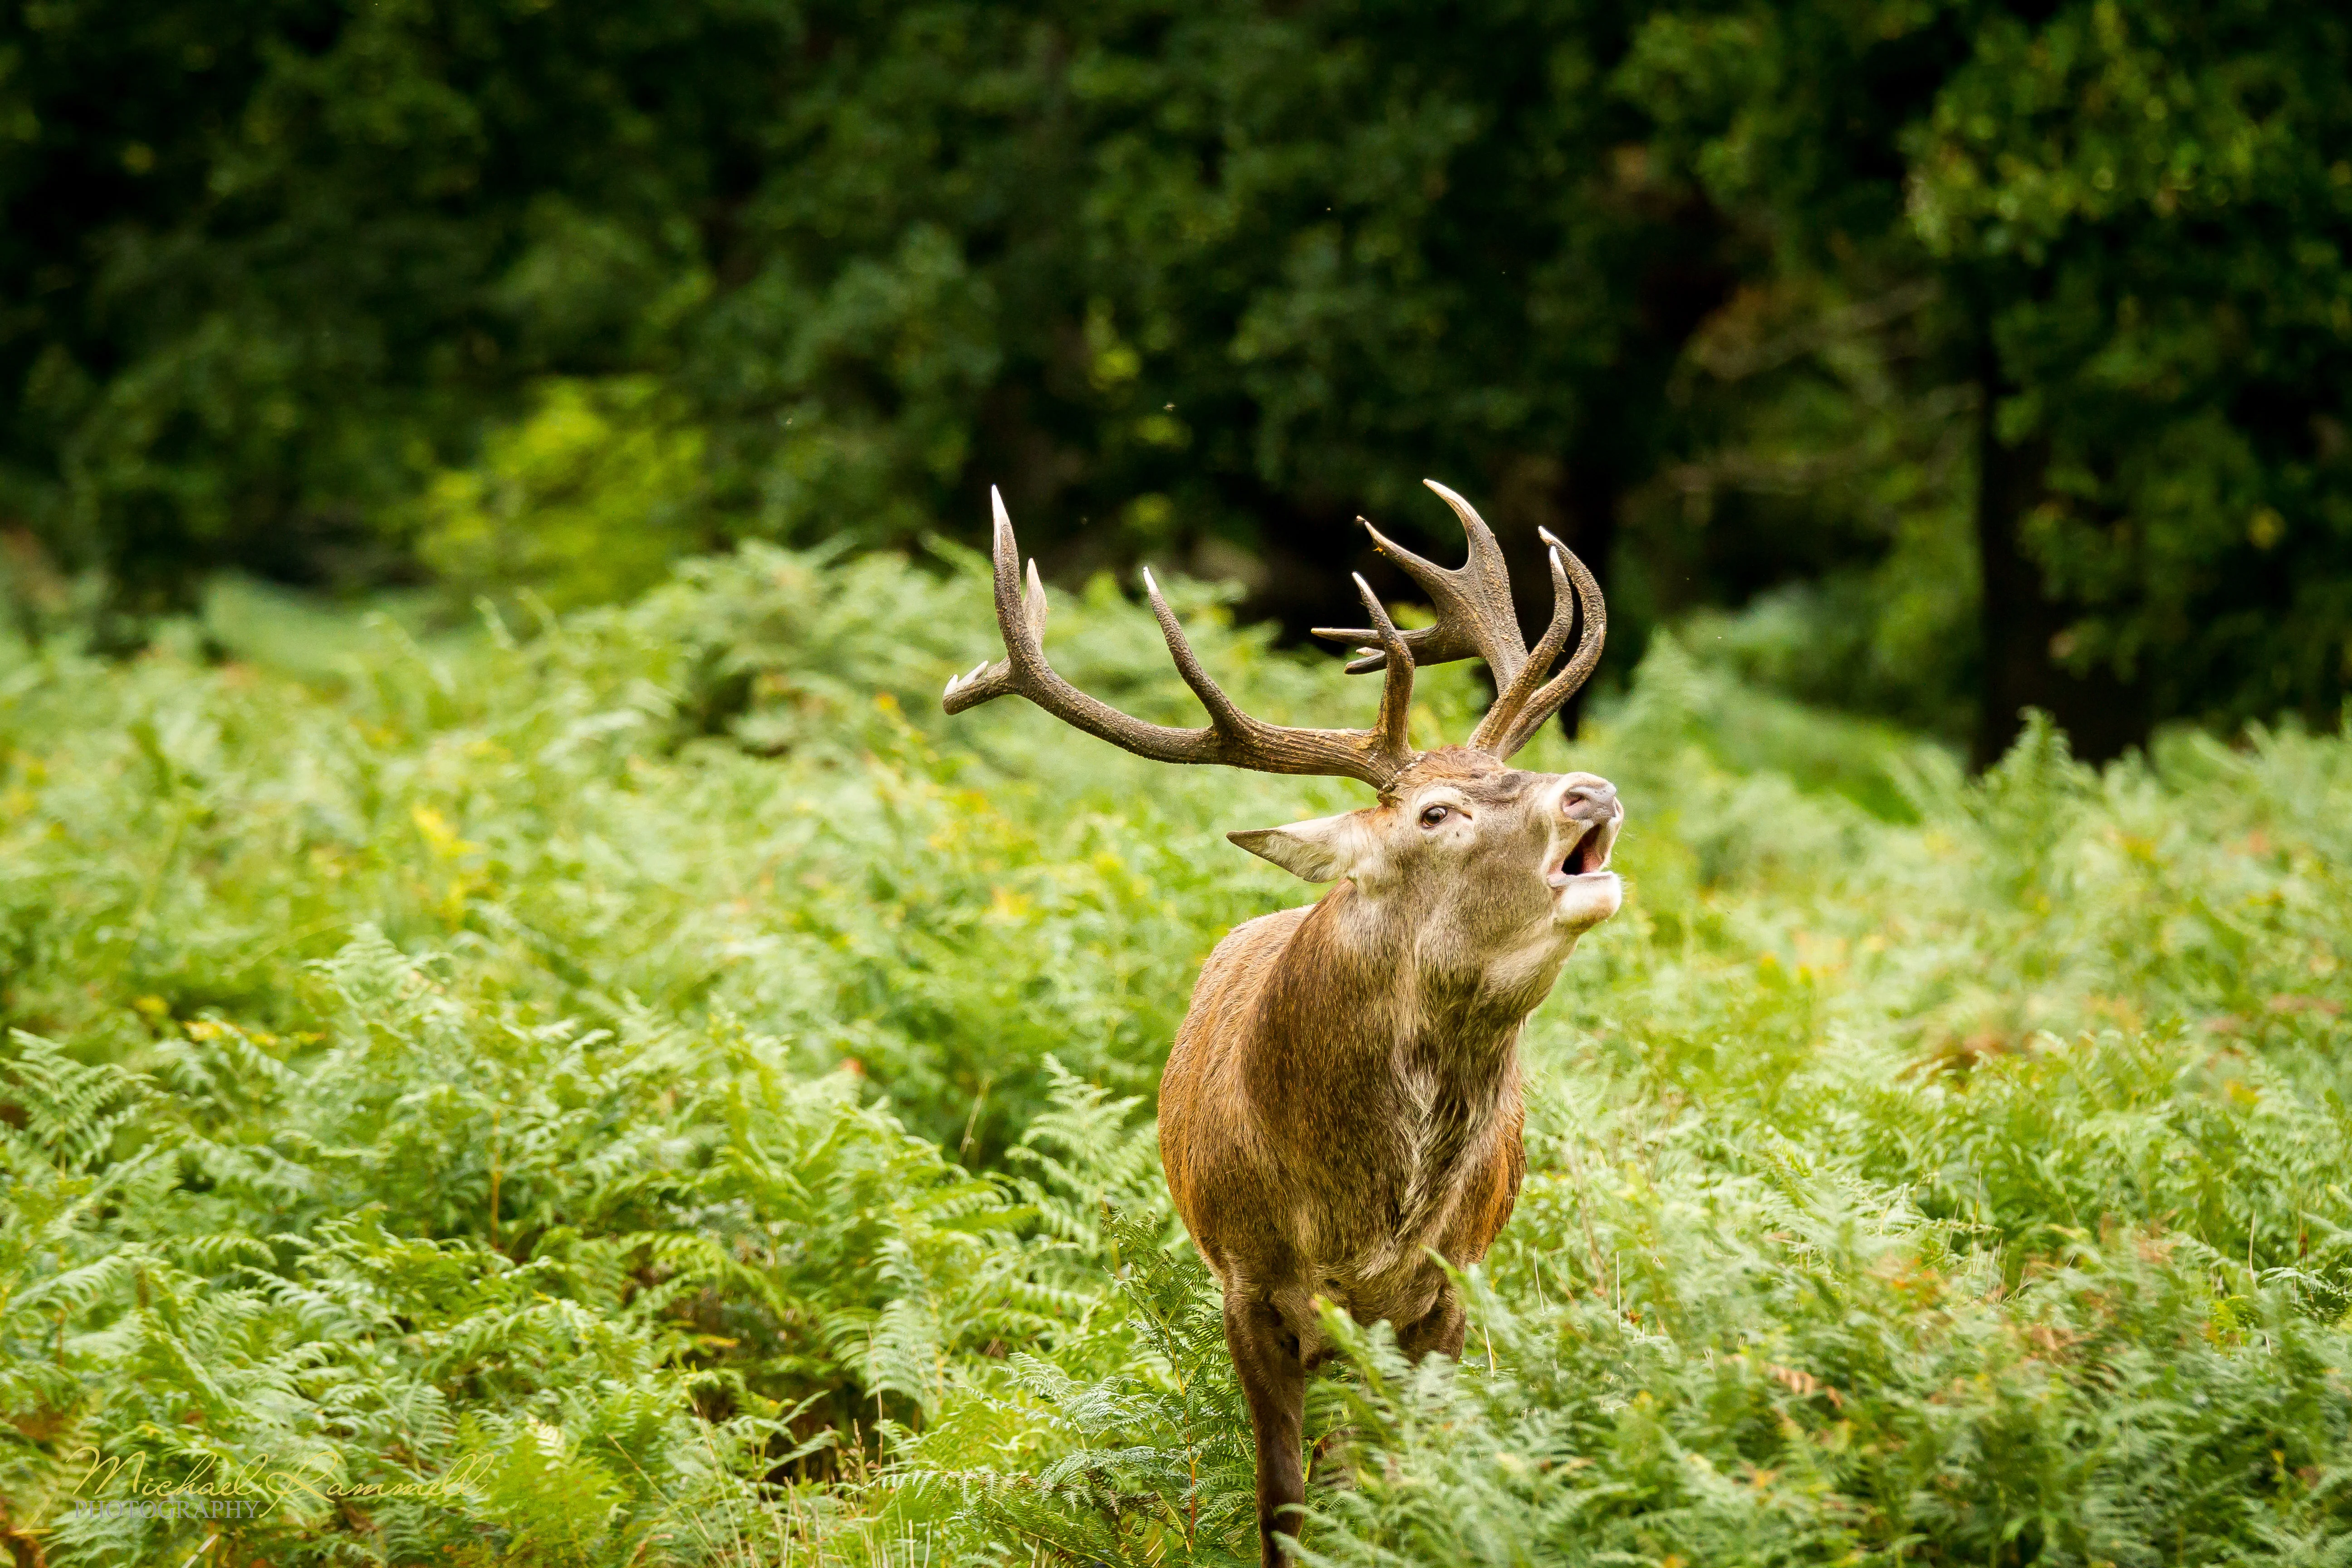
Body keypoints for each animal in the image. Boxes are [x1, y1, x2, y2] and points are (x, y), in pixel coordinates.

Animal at [943, 480, 1623, 1567]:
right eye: (1435, 813)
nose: (1589, 791)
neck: (1357, 1224)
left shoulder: (1448, 1290)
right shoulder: (1249, 1288)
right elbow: (1283, 1503)